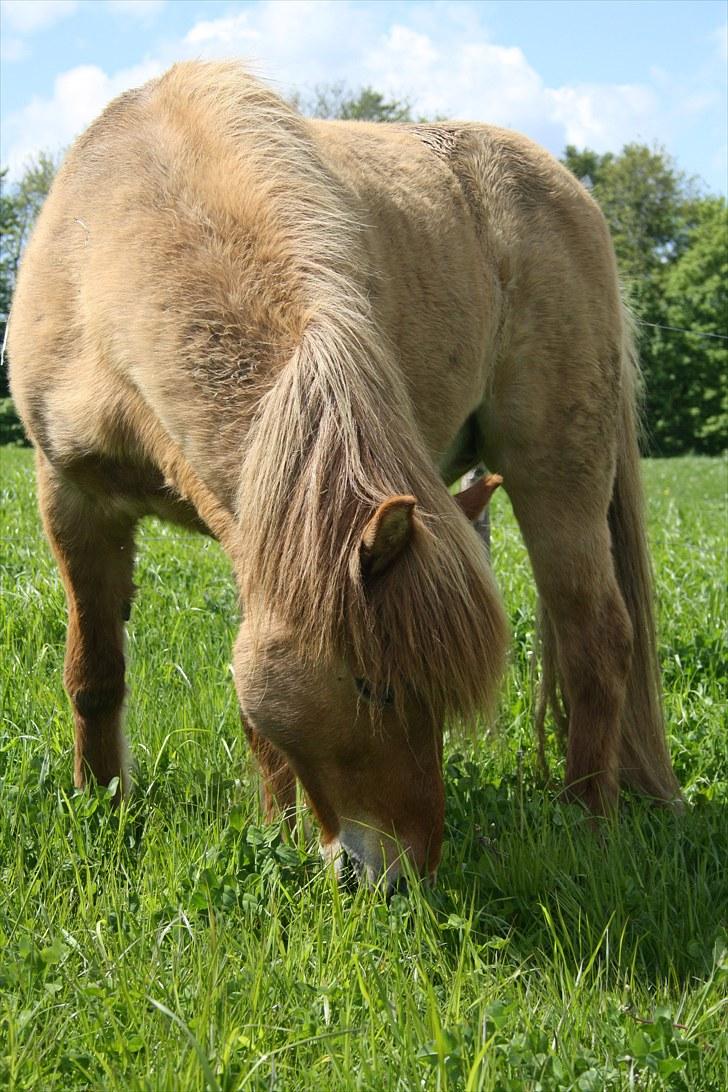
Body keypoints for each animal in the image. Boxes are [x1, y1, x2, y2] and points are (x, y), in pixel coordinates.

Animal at [5, 59, 681, 891]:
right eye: (372, 687)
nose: (402, 875)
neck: (101, 250)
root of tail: (571, 192)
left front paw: (273, 839)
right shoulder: (78, 498)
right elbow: (96, 675)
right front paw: (107, 807)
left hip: (557, 471)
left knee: (598, 638)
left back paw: (587, 822)